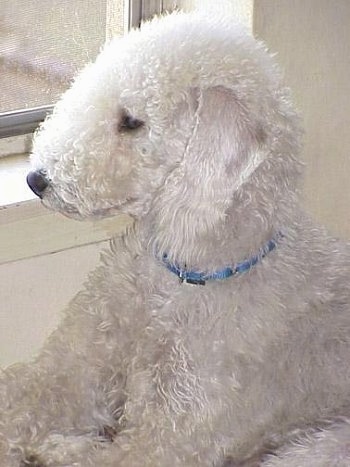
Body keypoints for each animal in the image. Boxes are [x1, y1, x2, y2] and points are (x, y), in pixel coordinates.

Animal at [0, 11, 350, 467]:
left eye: (132, 122)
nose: (36, 179)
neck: (178, 275)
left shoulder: (167, 440)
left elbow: (100, 454)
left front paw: (52, 448)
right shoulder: (75, 370)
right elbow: (27, 391)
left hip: (319, 447)